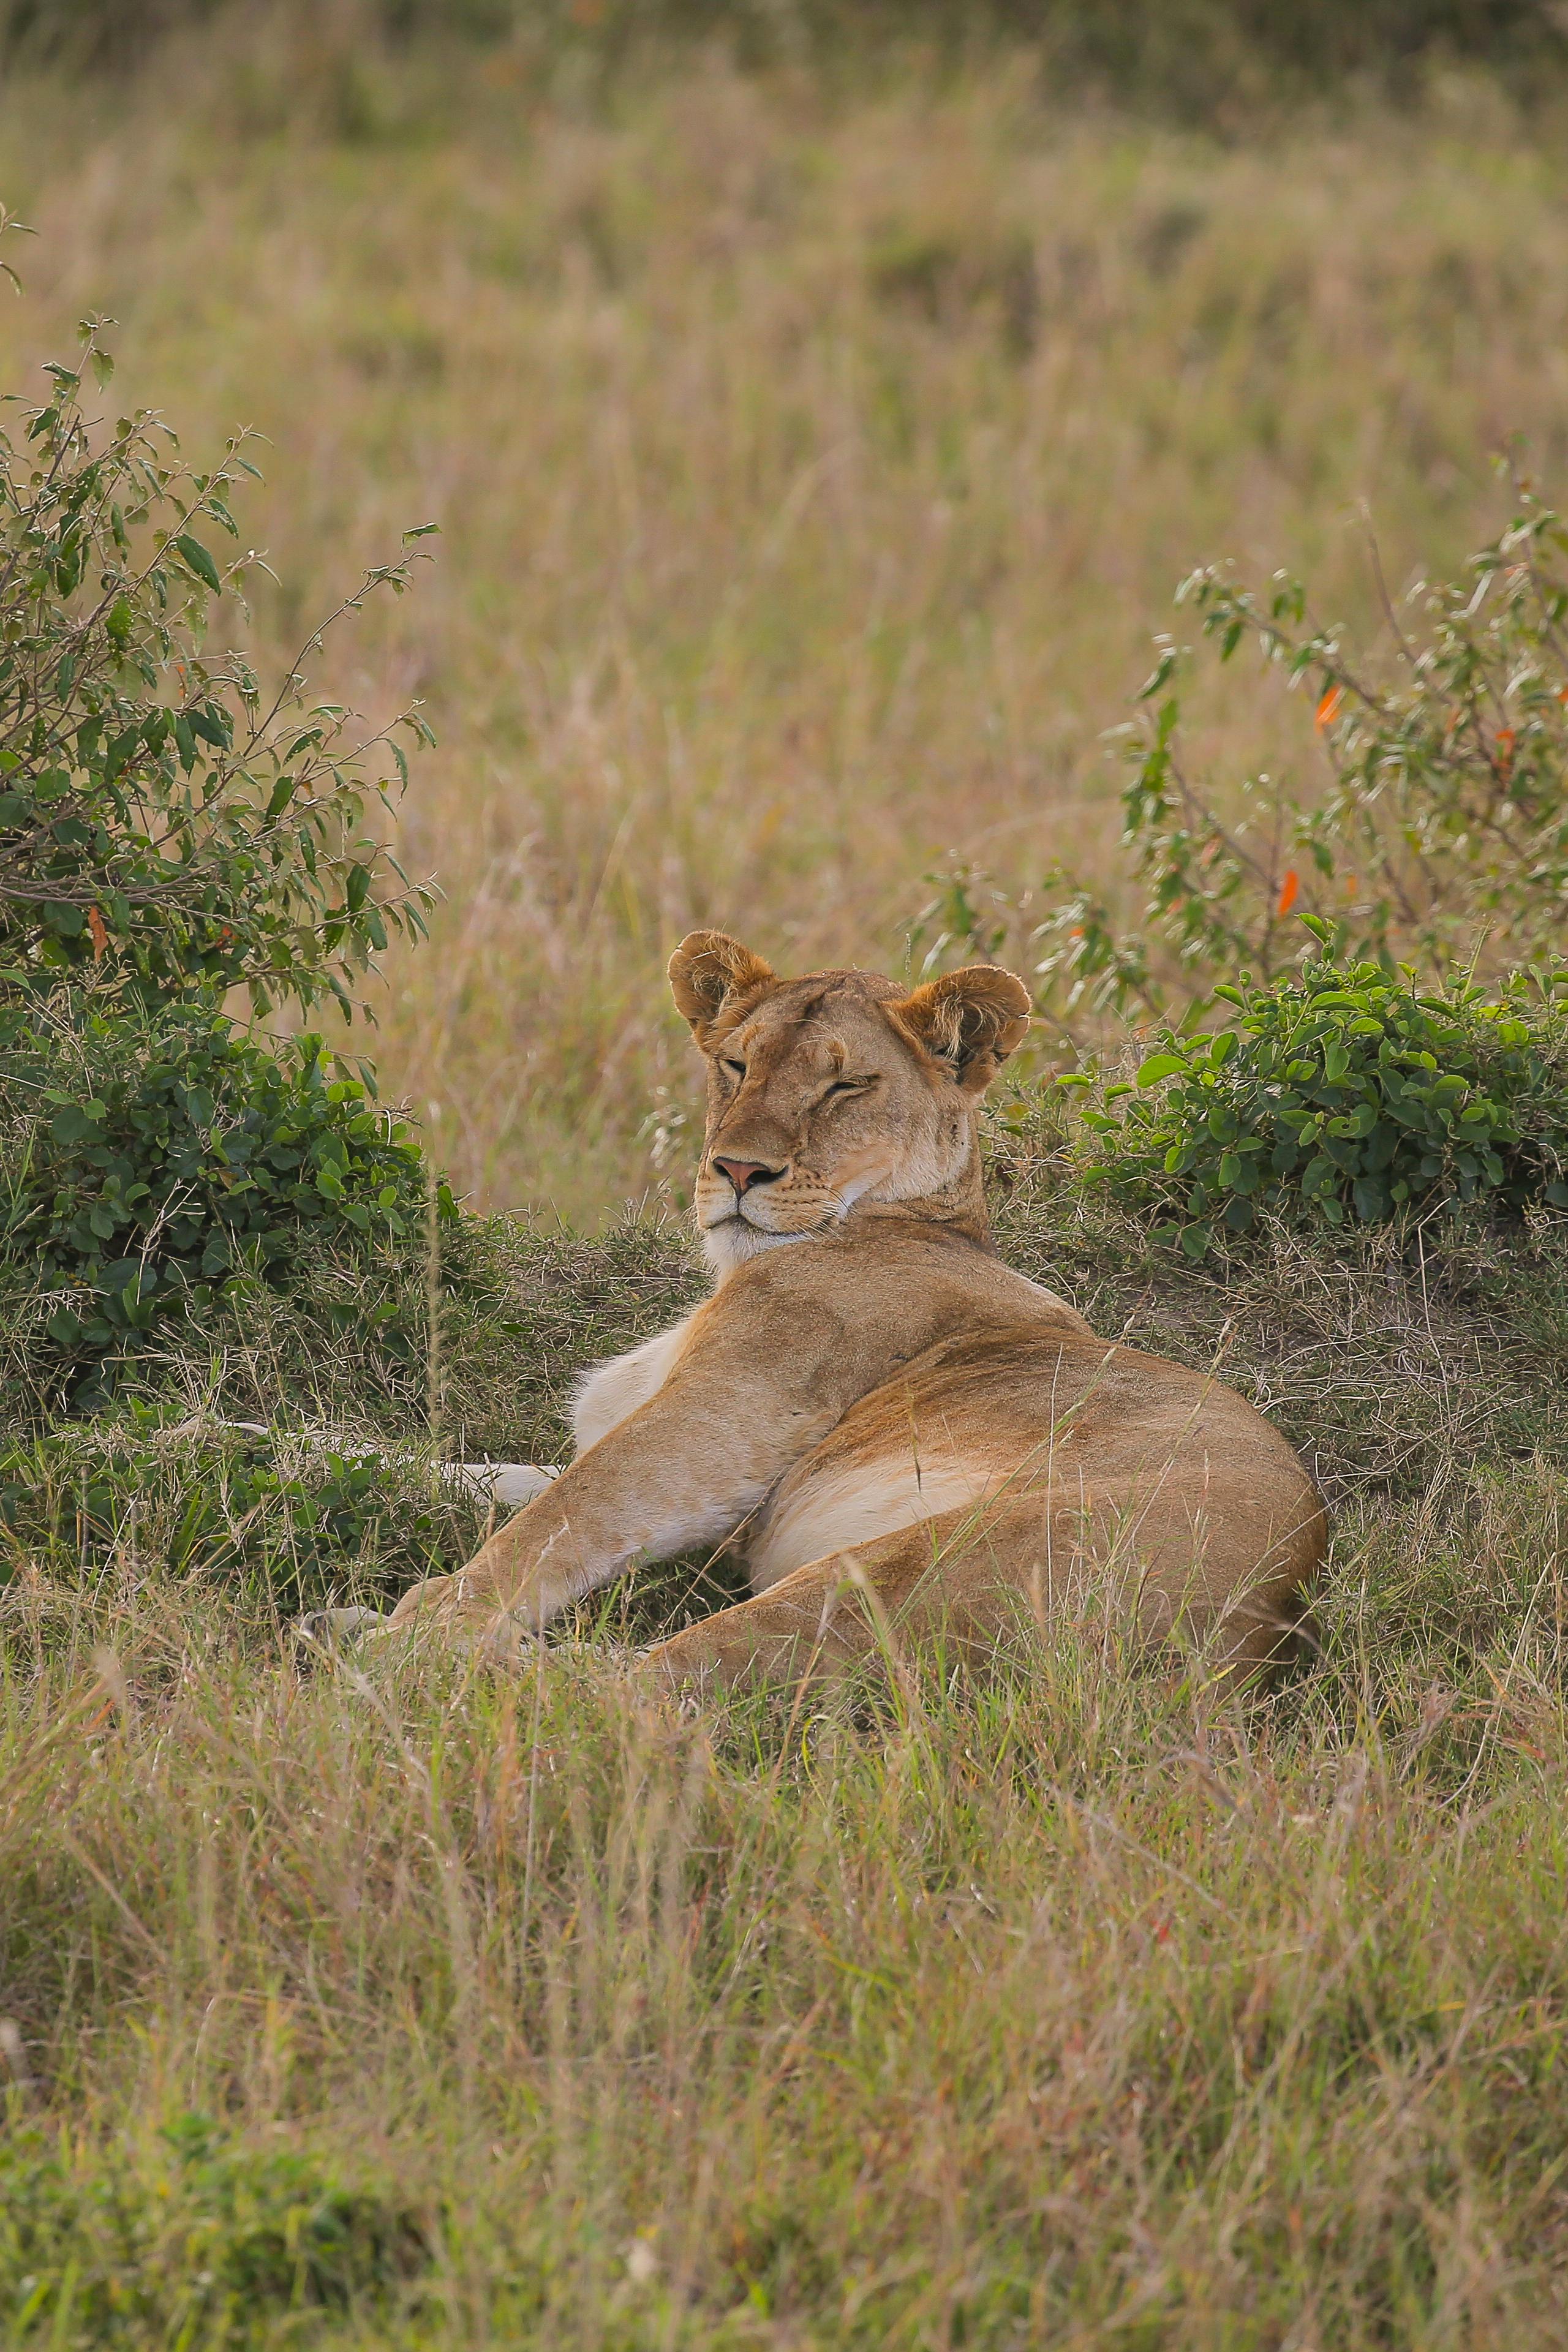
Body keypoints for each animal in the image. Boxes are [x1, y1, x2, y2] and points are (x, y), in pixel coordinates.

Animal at [353, 932, 1325, 1690]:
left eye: (846, 1086)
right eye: (736, 1064)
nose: (738, 1170)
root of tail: (1268, 1640)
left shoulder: (728, 1419)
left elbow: (558, 1520)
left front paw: (428, 1620)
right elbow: (487, 1478)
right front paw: (327, 1455)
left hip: (903, 1572)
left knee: (651, 1686)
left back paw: (378, 1653)